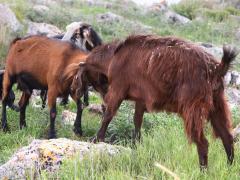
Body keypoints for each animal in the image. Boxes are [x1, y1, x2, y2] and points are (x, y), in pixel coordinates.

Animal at [69, 34, 238, 169]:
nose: (103, 96)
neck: (114, 57)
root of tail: (215, 68)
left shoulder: (118, 89)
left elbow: (108, 115)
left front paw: (96, 139)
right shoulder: (141, 99)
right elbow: (137, 120)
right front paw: (136, 144)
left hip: (193, 107)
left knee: (203, 143)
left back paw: (203, 171)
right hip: (217, 104)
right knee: (227, 138)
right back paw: (229, 168)